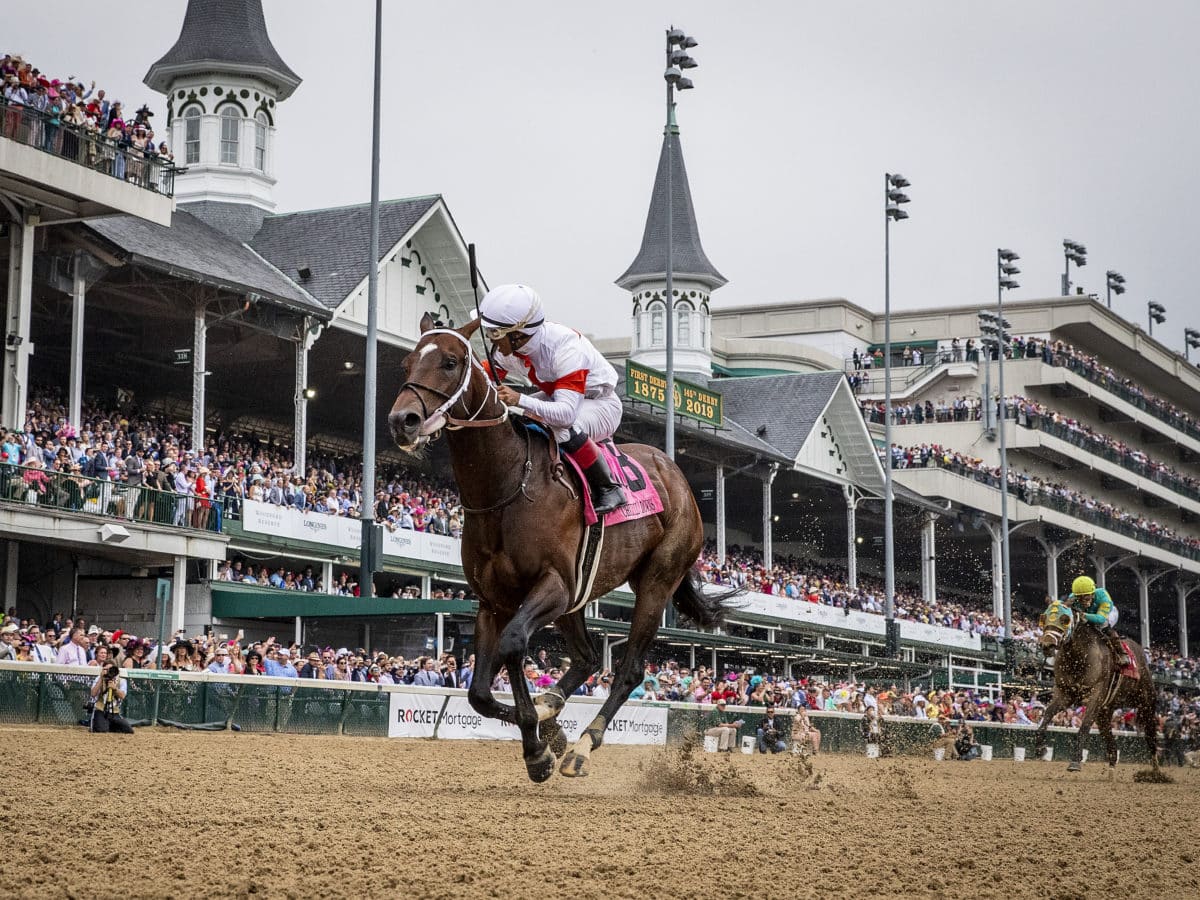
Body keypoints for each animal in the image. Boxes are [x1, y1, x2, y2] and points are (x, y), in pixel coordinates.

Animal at [388, 316, 724, 782]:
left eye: (450, 362)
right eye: (407, 362)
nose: (402, 420)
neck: (508, 486)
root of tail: (677, 477)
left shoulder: (554, 584)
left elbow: (513, 645)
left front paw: (540, 747)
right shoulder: (494, 601)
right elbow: (478, 693)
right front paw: (546, 734)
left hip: (656, 581)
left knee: (628, 669)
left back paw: (583, 746)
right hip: (578, 597)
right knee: (586, 659)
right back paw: (554, 709)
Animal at [1027, 602, 1156, 772]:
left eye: (1065, 619)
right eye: (1044, 618)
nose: (1047, 644)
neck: (1078, 656)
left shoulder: (1095, 695)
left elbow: (1085, 725)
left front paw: (1075, 761)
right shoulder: (1065, 694)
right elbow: (1047, 714)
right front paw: (1040, 748)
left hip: (1146, 702)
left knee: (1151, 737)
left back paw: (1156, 771)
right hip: (1105, 712)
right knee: (1111, 743)